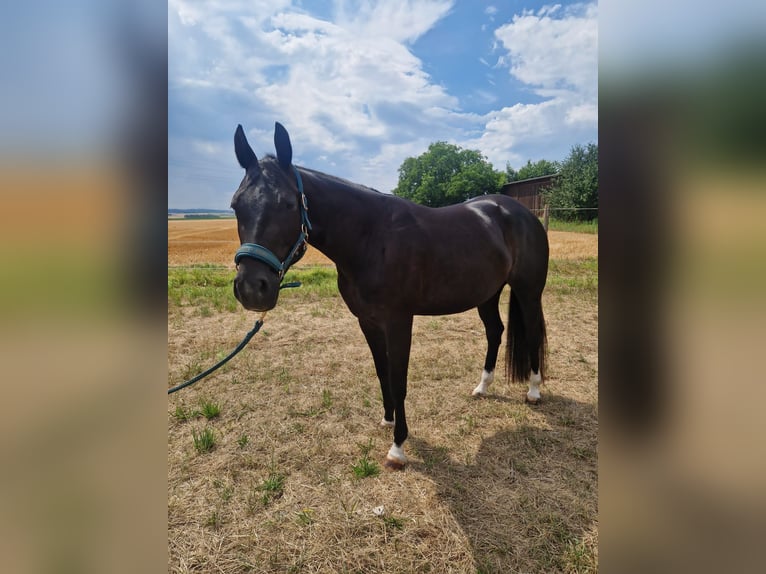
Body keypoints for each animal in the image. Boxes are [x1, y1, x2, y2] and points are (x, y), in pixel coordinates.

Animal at [231, 122, 549, 470]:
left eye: (288, 204)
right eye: (236, 205)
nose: (252, 288)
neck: (371, 238)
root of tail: (521, 213)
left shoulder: (399, 322)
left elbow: (399, 380)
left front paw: (398, 448)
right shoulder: (368, 321)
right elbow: (382, 372)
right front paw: (387, 419)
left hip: (528, 292)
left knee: (532, 333)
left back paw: (534, 392)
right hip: (487, 294)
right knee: (495, 331)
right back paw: (482, 387)